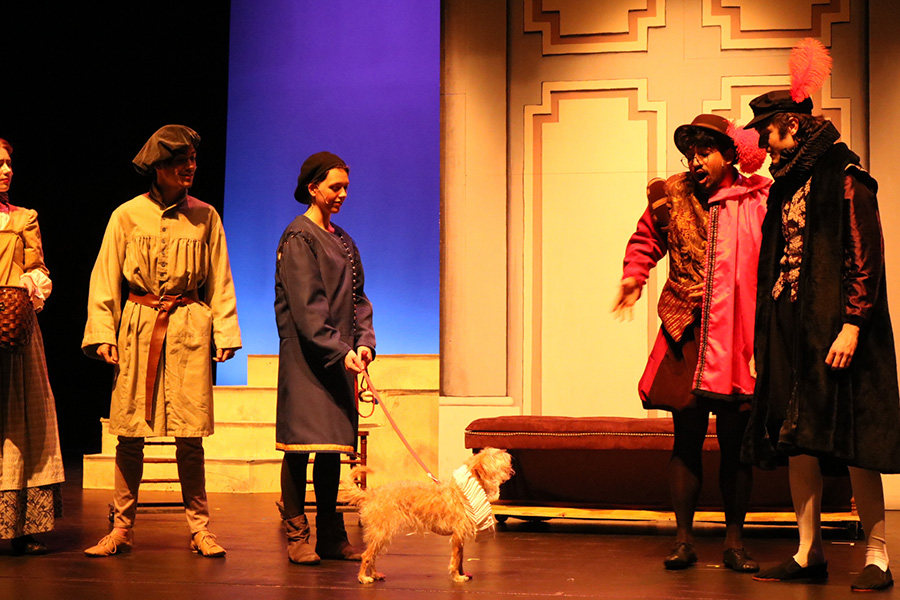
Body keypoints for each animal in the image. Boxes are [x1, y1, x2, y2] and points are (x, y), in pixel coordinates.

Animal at [342, 448, 512, 584]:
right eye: (493, 455)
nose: (506, 451)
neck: (462, 492)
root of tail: (372, 494)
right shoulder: (457, 536)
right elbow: (456, 559)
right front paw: (457, 577)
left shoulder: (460, 537)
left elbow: (461, 559)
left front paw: (462, 573)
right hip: (380, 534)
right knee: (366, 555)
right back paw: (363, 578)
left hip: (380, 537)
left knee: (372, 556)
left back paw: (375, 574)